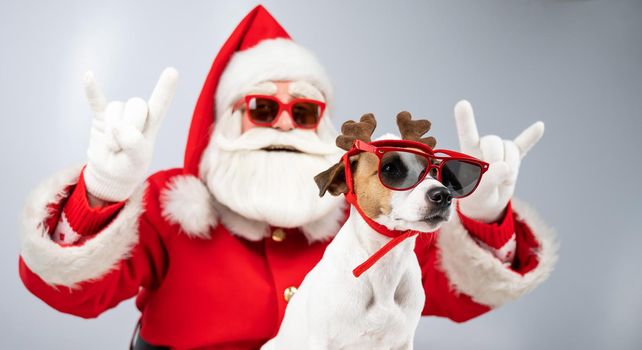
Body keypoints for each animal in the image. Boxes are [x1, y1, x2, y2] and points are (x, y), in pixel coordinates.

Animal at [262, 113, 452, 350]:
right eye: (389, 169)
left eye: (434, 170)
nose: (443, 195)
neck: (384, 267)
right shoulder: (321, 341)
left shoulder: (403, 341)